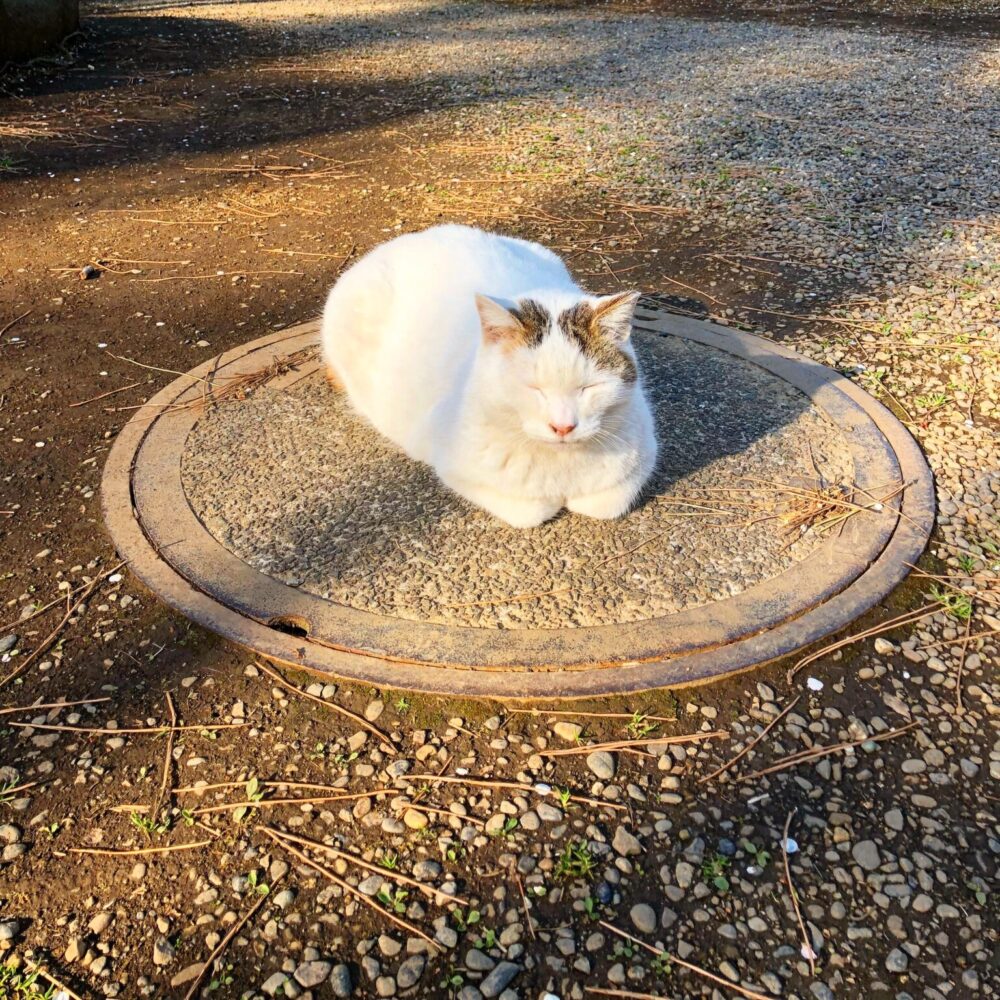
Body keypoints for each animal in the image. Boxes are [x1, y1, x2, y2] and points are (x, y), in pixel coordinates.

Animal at [320, 224, 660, 528]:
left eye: (588, 388)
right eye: (534, 388)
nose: (563, 426)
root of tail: (406, 239)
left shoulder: (642, 457)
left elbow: (604, 504)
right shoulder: (450, 462)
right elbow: (530, 512)